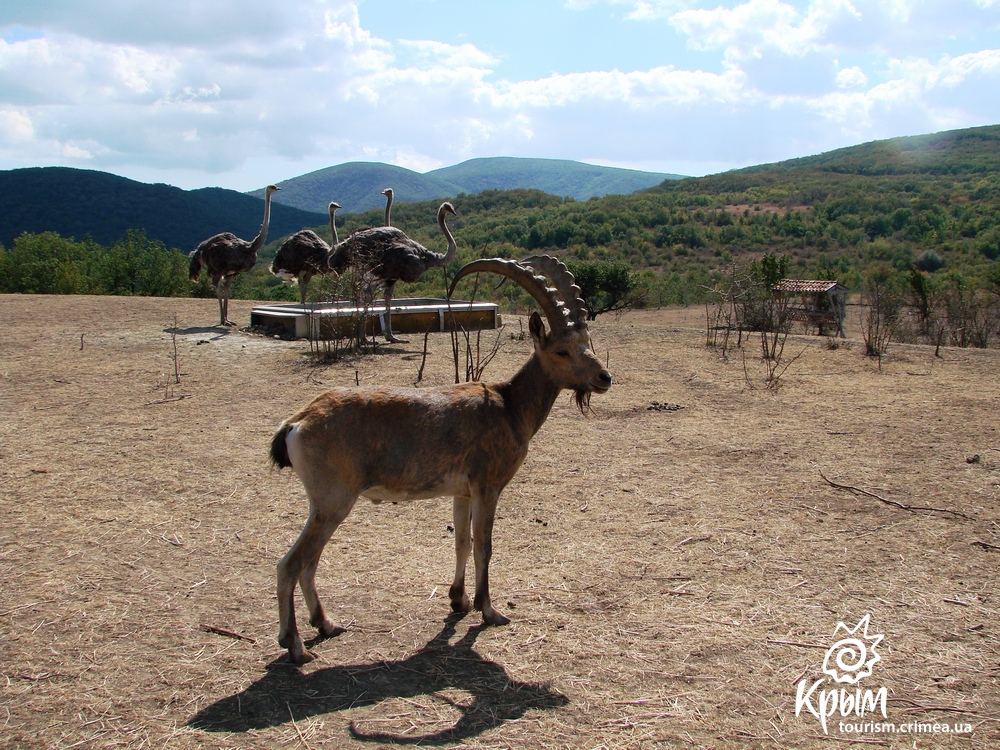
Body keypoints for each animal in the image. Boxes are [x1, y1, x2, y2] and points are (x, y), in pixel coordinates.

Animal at [274, 254, 612, 664]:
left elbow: (461, 541)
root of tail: (296, 423)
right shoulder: (487, 487)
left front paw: (458, 600)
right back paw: (294, 645)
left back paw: (325, 624)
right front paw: (489, 610)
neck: (509, 406)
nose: (604, 378)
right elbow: (484, 545)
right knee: (290, 564)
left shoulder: (461, 493)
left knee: (309, 563)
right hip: (333, 500)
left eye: (587, 343)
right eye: (562, 350)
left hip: (322, 505)